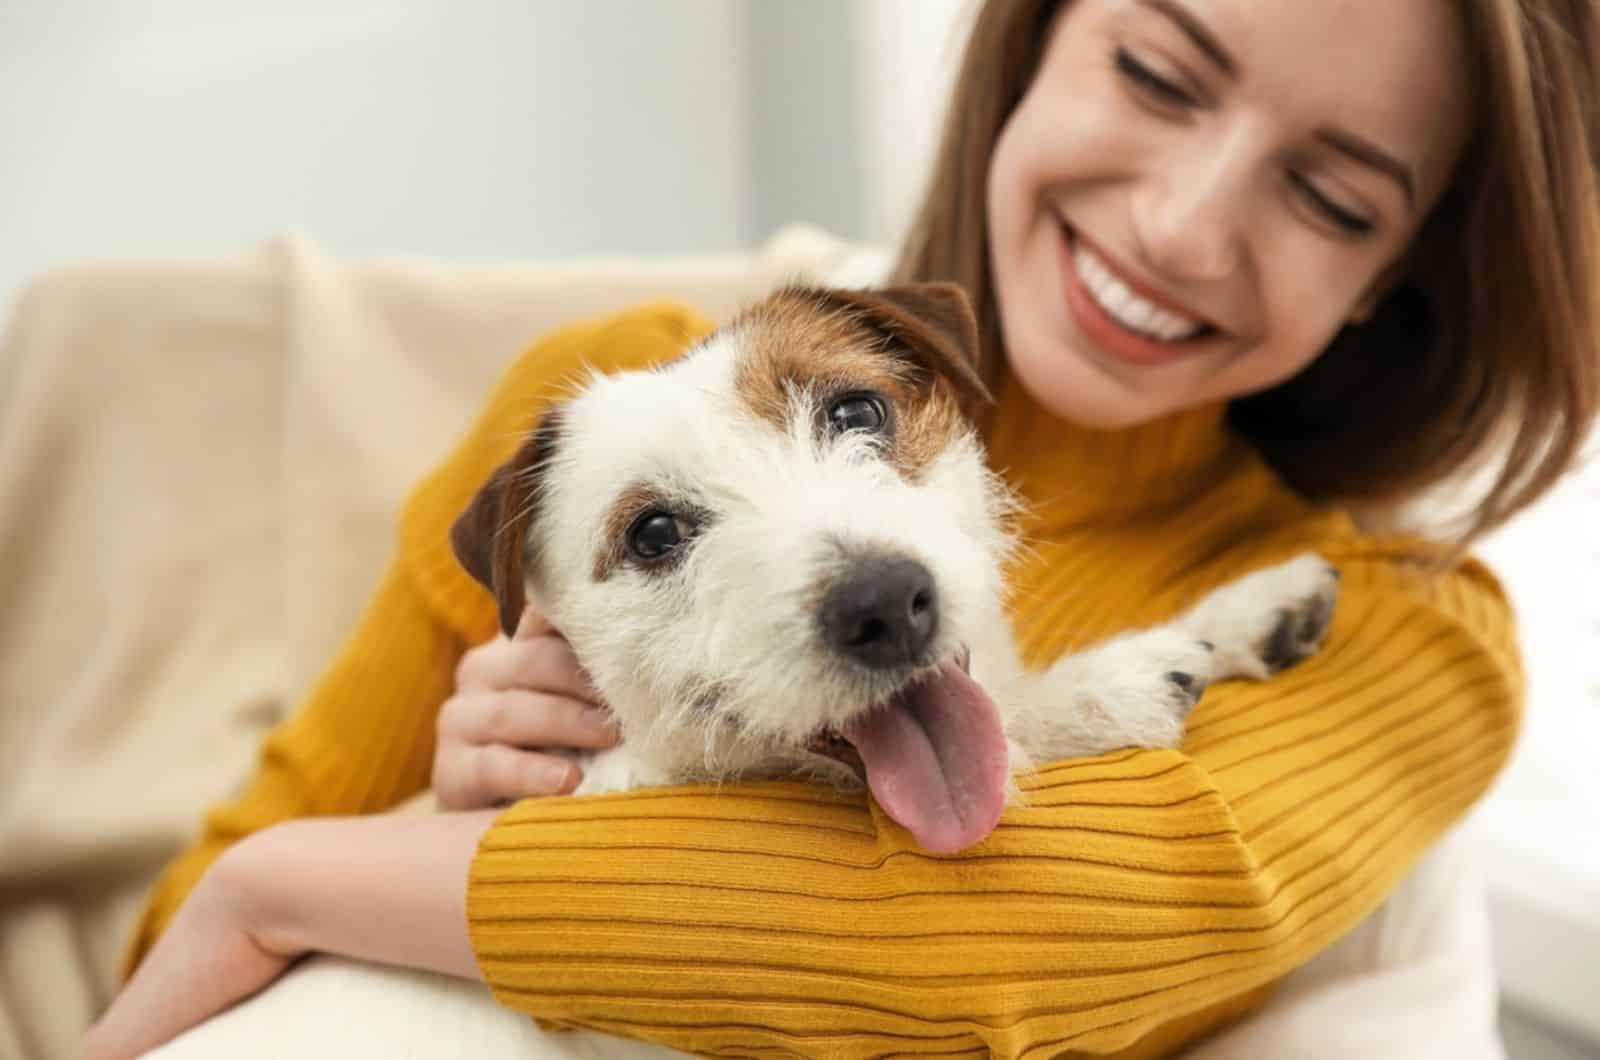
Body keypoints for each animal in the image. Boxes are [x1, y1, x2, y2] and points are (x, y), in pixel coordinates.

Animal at [454, 281, 1337, 858]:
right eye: (655, 533)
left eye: (855, 411)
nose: (882, 603)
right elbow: (1014, 720)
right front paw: (1108, 687)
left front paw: (1253, 609)